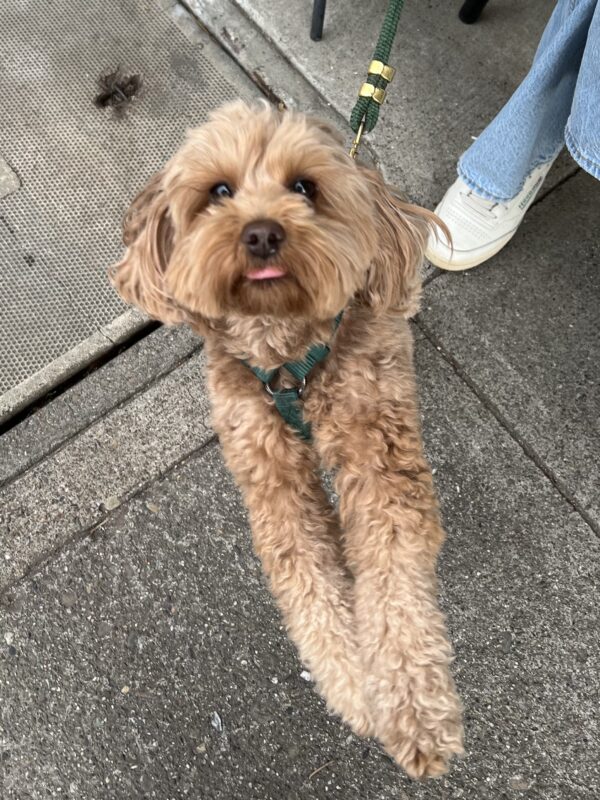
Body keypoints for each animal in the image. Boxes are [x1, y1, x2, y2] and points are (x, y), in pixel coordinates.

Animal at [111, 101, 464, 780]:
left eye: (303, 187)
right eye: (220, 192)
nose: (261, 234)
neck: (286, 356)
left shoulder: (380, 460)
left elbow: (394, 584)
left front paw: (415, 712)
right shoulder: (271, 483)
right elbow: (310, 589)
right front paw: (356, 690)